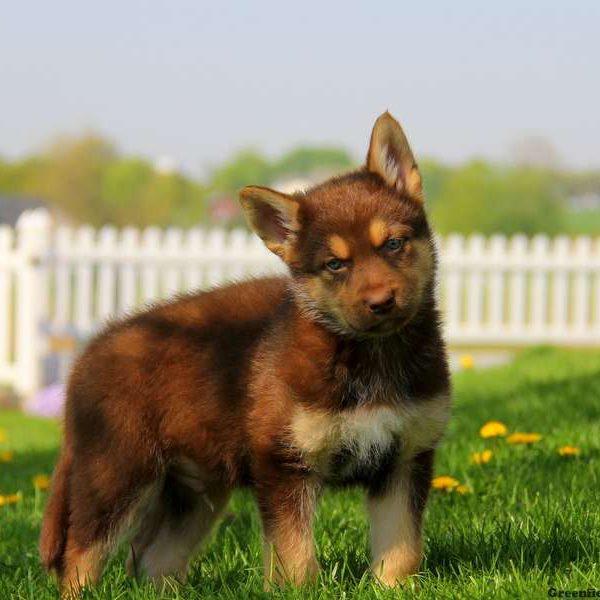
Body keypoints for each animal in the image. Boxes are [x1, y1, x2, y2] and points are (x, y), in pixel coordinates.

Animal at [39, 112, 450, 596]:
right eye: (335, 264)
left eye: (394, 244)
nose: (382, 302)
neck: (369, 356)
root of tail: (86, 356)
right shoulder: (284, 463)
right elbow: (295, 558)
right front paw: (296, 591)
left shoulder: (405, 458)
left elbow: (401, 550)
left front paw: (395, 588)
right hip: (116, 472)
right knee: (81, 553)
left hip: (194, 489)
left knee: (151, 557)